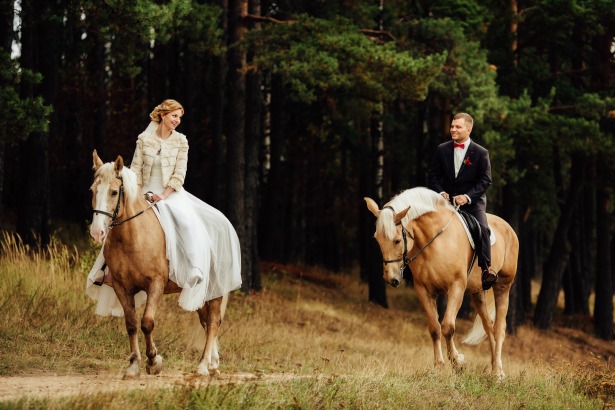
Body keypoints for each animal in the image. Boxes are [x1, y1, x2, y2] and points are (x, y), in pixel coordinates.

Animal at [89, 151, 229, 378]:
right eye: (92, 190)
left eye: (113, 192)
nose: (97, 232)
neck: (132, 237)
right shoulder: (121, 286)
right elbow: (131, 324)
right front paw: (134, 365)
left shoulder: (155, 284)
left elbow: (147, 322)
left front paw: (154, 361)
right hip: (200, 294)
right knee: (206, 322)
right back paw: (213, 365)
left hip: (215, 291)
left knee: (213, 322)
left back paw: (203, 367)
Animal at [366, 187, 520, 380]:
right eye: (377, 239)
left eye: (397, 240)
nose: (391, 279)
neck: (433, 240)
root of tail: (508, 227)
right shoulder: (424, 290)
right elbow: (434, 328)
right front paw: (438, 366)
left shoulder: (456, 287)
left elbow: (447, 327)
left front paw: (458, 362)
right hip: (477, 292)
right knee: (489, 327)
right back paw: (494, 370)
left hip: (503, 286)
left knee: (499, 328)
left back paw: (498, 373)